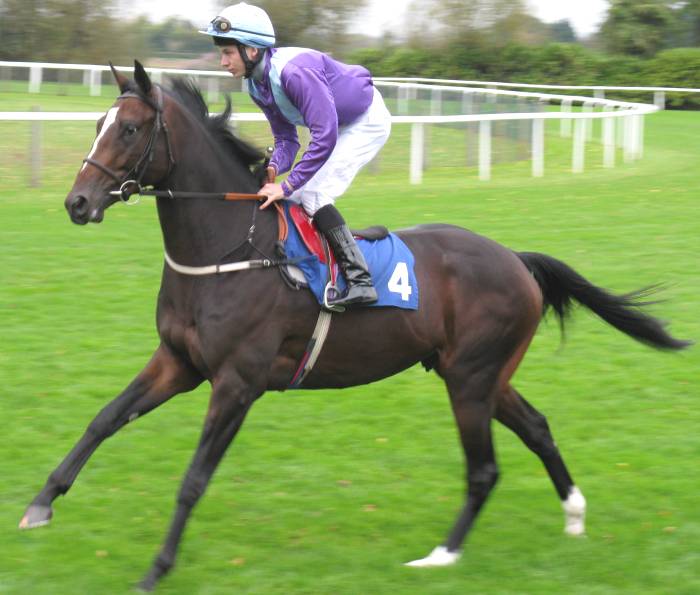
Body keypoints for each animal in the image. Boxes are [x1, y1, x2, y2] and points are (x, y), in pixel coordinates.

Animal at [19, 61, 690, 591]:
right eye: (97, 125)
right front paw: (39, 505)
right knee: (538, 427)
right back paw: (573, 514)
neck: (229, 246)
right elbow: (104, 419)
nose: (77, 202)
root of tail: (515, 259)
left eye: (130, 129)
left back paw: (441, 556)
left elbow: (193, 479)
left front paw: (156, 569)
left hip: (470, 378)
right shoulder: (178, 363)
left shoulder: (238, 381)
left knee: (483, 468)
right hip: (480, 373)